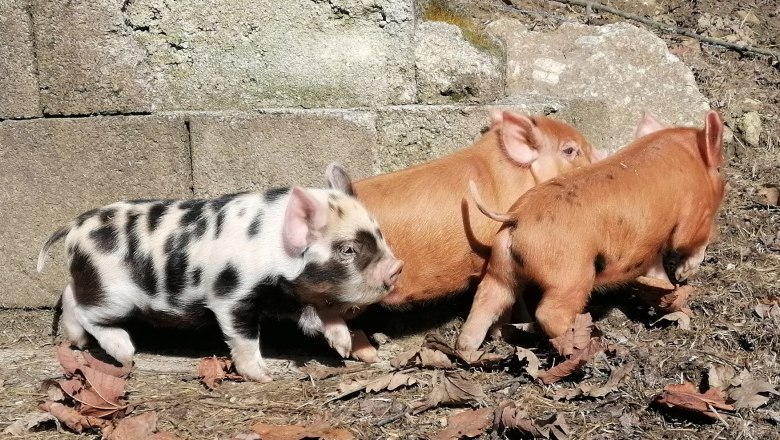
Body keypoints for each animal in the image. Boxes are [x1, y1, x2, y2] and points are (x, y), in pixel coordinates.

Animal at [37, 164, 403, 382]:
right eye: (348, 250)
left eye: (379, 234)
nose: (397, 267)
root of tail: (74, 228)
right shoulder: (231, 296)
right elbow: (244, 337)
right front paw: (263, 376)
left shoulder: (290, 297)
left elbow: (322, 313)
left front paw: (342, 346)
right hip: (113, 293)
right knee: (87, 311)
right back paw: (125, 352)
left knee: (70, 294)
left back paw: (77, 342)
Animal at [456, 111, 726, 352]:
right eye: (720, 170)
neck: (691, 158)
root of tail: (517, 217)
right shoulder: (693, 215)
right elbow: (692, 240)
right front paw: (684, 274)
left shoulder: (649, 248)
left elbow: (656, 272)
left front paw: (669, 291)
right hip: (571, 274)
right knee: (549, 312)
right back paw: (587, 346)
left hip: (500, 265)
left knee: (486, 300)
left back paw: (467, 351)